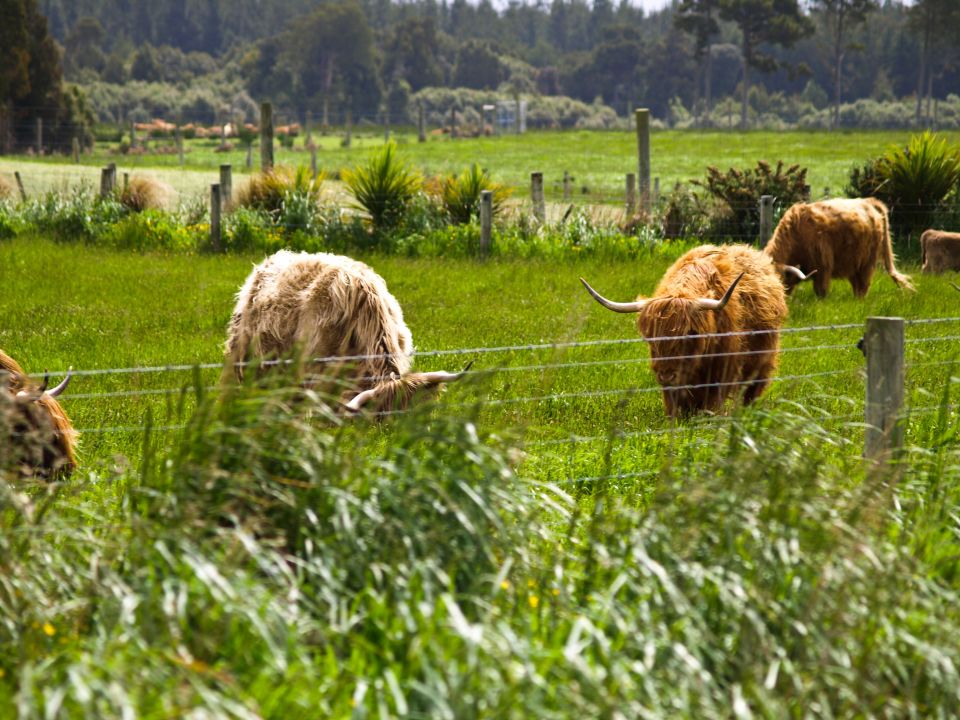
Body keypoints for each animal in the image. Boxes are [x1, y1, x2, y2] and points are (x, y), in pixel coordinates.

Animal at [576, 246, 788, 420]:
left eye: (690, 334)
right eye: (650, 337)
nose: (666, 376)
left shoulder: (721, 369)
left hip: (762, 362)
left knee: (751, 391)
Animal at [764, 195, 916, 296]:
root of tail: (868, 202)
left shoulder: (823, 264)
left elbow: (821, 290)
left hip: (868, 261)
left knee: (863, 285)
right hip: (854, 262)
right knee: (857, 284)